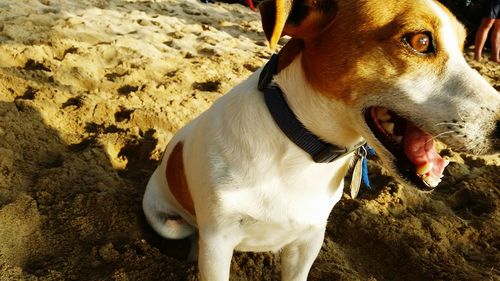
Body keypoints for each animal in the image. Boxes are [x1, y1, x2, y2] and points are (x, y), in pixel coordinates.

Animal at [142, 0, 500, 278]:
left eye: (464, 48)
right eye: (421, 41)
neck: (297, 154)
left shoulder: (309, 239)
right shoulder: (218, 242)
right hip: (167, 221)